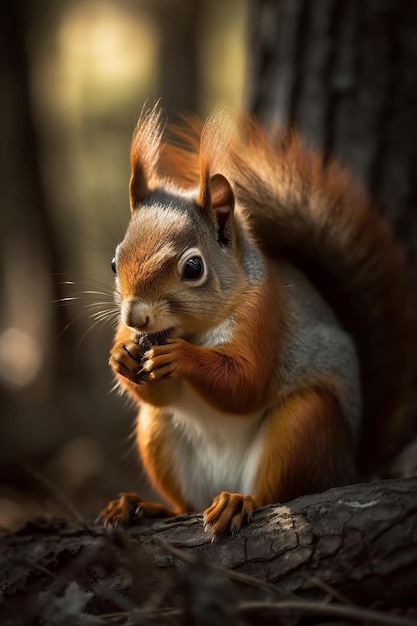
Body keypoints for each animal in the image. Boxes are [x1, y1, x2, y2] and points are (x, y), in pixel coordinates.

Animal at [99, 105, 414, 532]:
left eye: (193, 268)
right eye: (115, 263)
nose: (136, 317)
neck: (190, 331)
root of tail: (350, 468)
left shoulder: (264, 317)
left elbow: (246, 383)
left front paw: (181, 357)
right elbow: (155, 393)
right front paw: (121, 356)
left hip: (303, 427)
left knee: (275, 497)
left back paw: (236, 501)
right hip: (158, 432)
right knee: (184, 503)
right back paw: (142, 506)